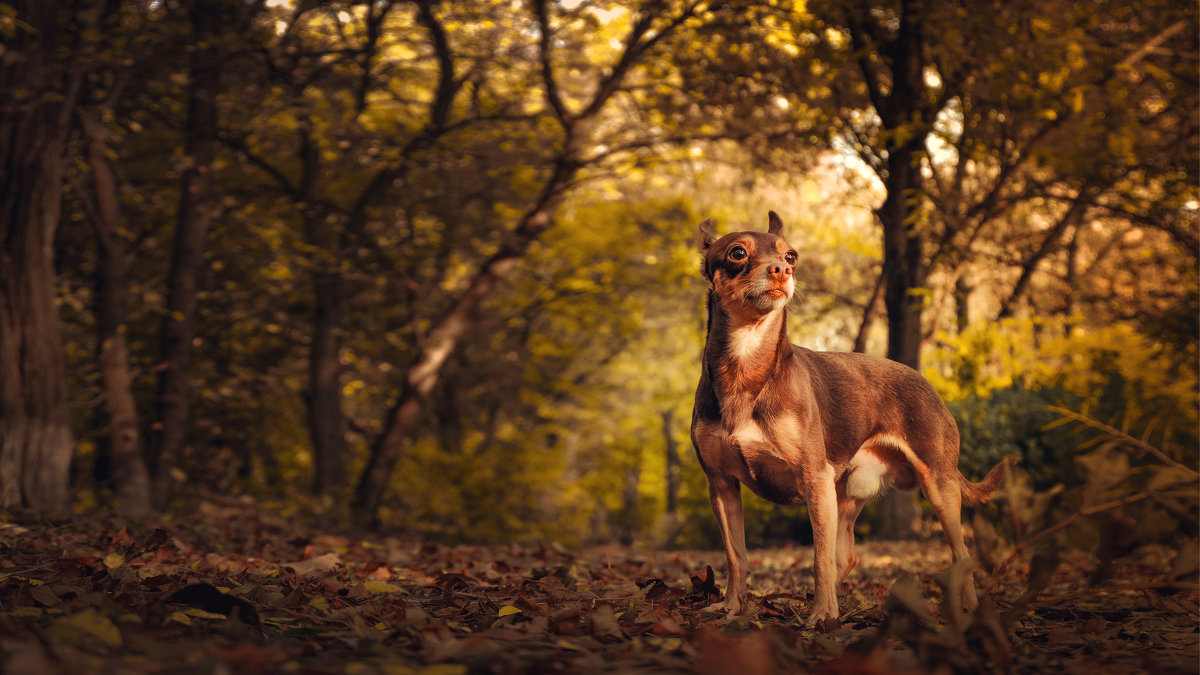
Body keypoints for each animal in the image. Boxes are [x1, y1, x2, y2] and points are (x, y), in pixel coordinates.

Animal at [696, 212, 1012, 624]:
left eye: (791, 255)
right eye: (737, 253)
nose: (782, 269)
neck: (747, 362)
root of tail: (926, 383)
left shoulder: (813, 480)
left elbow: (818, 559)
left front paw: (821, 615)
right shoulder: (722, 486)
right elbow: (736, 557)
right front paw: (733, 607)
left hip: (939, 488)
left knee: (960, 553)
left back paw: (968, 608)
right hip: (845, 497)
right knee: (845, 557)